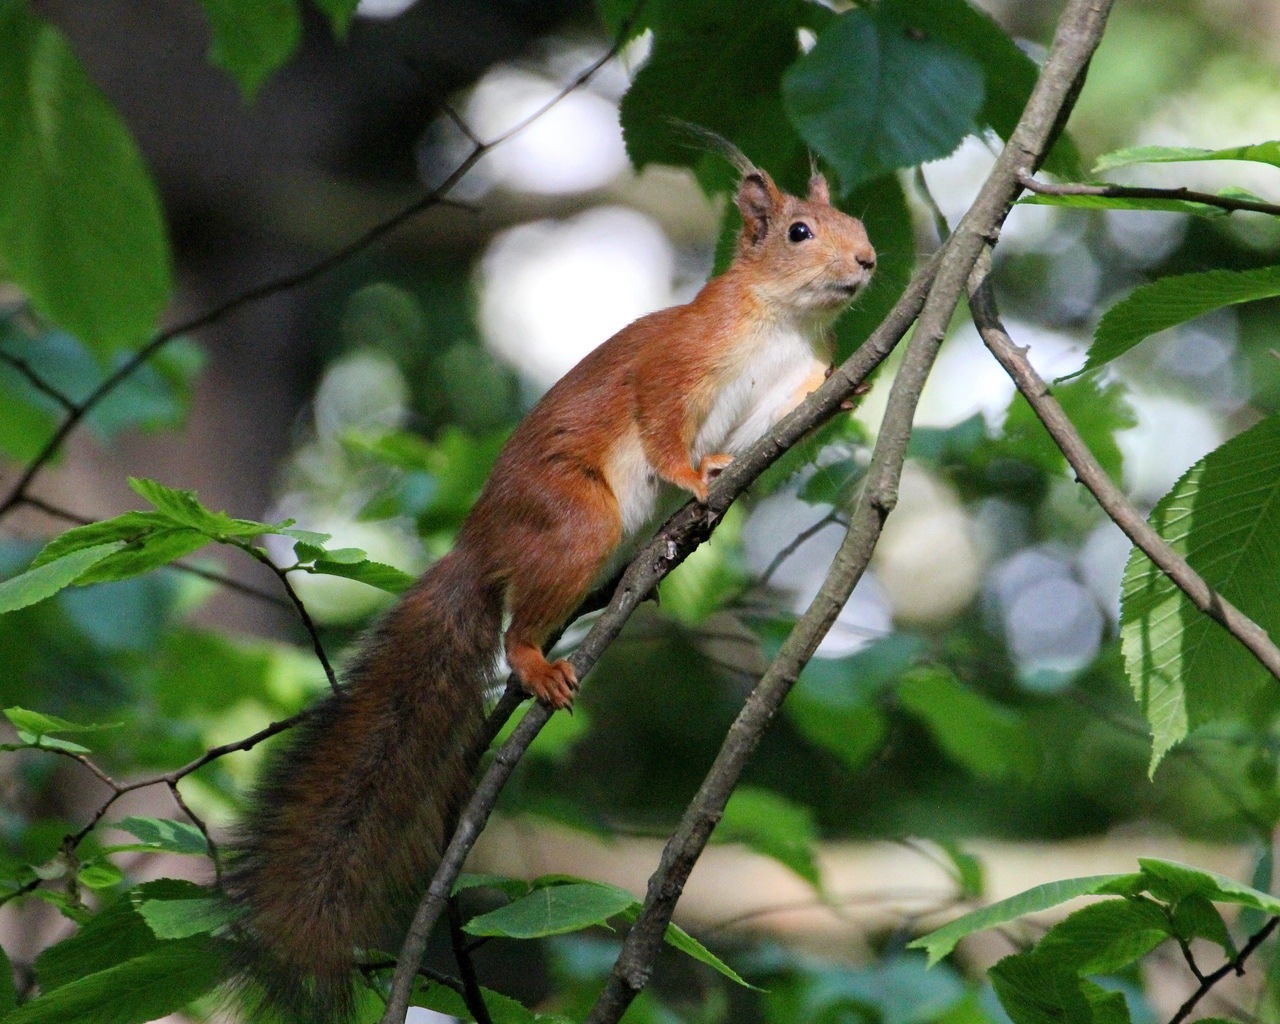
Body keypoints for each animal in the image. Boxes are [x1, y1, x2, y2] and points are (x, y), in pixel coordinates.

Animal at [225, 158, 875, 1013]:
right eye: (800, 232)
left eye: (860, 224)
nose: (869, 262)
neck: (782, 324)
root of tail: (478, 546)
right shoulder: (677, 362)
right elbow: (660, 421)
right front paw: (691, 476)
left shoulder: (778, 390)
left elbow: (782, 416)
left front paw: (845, 391)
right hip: (574, 524)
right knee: (514, 624)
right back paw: (537, 660)